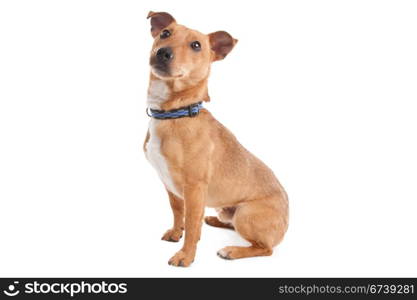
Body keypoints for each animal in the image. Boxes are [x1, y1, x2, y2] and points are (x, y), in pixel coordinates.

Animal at [143, 11, 286, 268]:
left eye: (196, 45)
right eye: (165, 33)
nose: (163, 52)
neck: (176, 113)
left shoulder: (194, 188)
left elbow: (191, 224)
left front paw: (186, 256)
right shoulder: (171, 187)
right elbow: (179, 213)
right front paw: (176, 232)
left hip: (246, 215)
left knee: (265, 248)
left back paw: (232, 251)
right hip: (226, 210)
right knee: (226, 223)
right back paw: (214, 221)